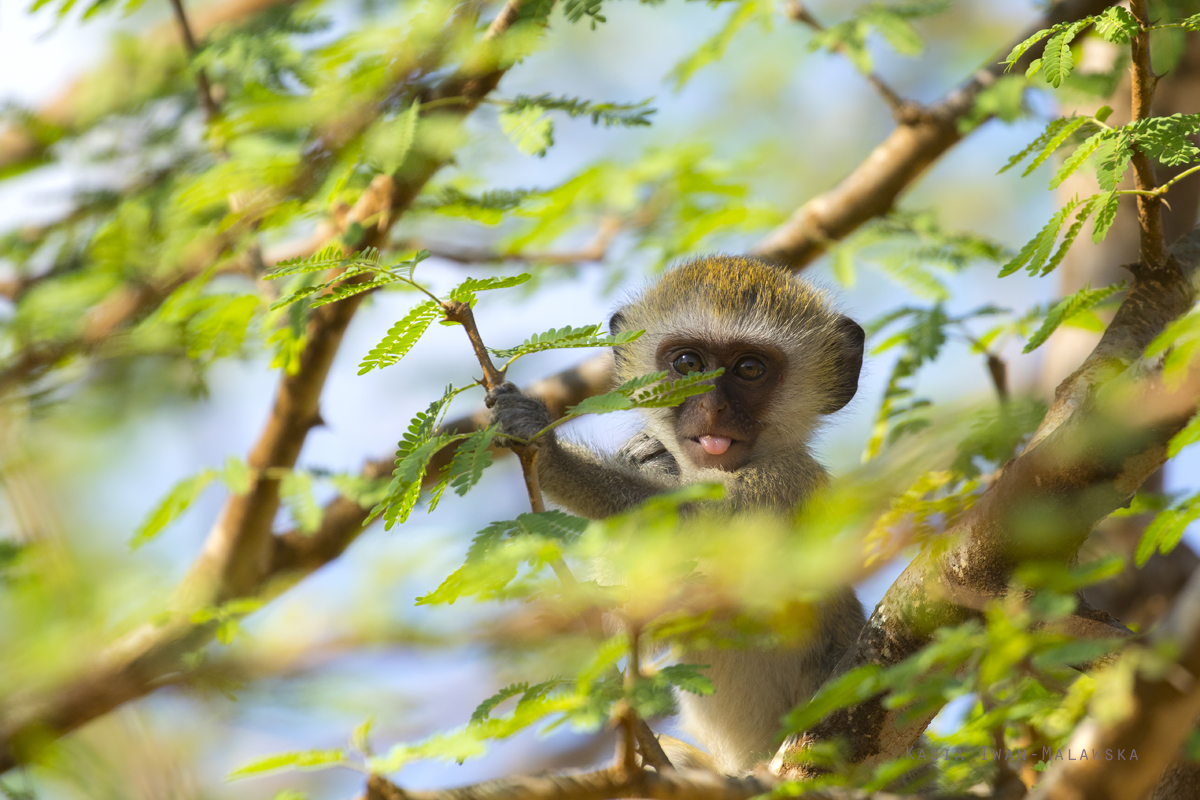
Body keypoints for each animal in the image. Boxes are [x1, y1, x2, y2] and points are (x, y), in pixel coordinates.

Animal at [482, 256, 868, 777]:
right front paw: (646, 455)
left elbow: (703, 528)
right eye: (687, 364)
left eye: (749, 369)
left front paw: (547, 453)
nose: (712, 408)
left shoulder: (786, 482)